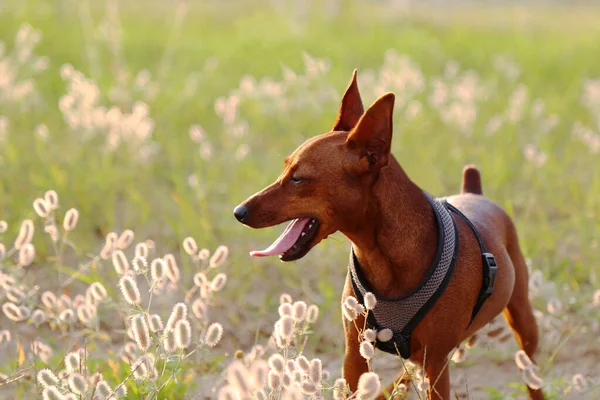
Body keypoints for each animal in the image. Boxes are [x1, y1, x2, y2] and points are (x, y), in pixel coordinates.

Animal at [234, 70, 544, 398]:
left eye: (298, 179)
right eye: (284, 168)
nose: (239, 212)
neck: (382, 256)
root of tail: (474, 190)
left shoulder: (435, 362)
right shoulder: (355, 353)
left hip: (523, 324)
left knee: (530, 372)